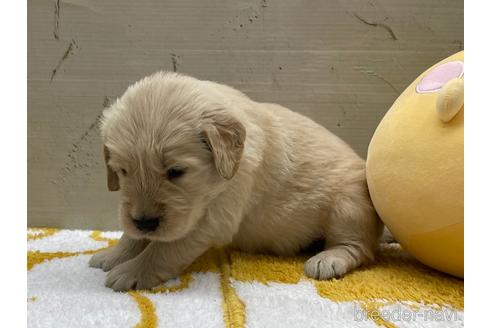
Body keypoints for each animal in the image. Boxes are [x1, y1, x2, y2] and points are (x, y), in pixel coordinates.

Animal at [89, 72, 384, 292]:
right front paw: (114, 255)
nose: (145, 223)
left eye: (176, 171)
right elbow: (132, 236)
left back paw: (328, 258)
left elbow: (164, 248)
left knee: (360, 248)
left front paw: (131, 271)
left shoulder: (214, 219)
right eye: (123, 171)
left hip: (347, 208)